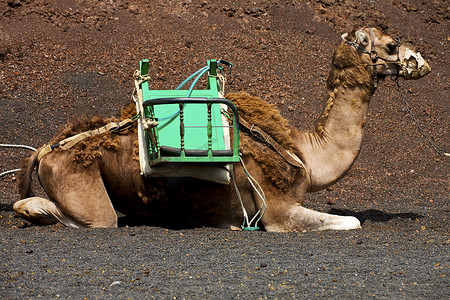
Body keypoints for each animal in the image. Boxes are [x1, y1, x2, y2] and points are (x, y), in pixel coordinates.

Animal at [12, 28, 430, 231]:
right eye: (391, 44)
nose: (423, 63)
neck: (307, 154)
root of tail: (47, 150)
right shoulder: (278, 211)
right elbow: (353, 222)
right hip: (79, 184)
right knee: (89, 217)